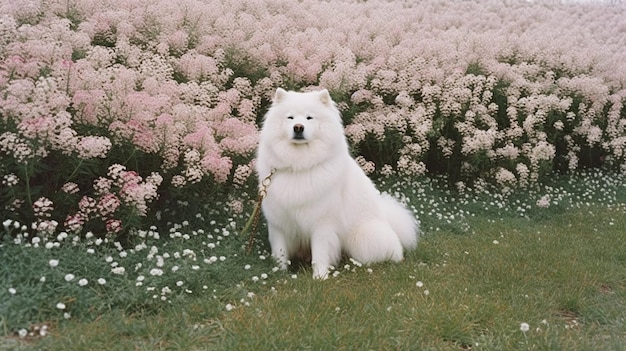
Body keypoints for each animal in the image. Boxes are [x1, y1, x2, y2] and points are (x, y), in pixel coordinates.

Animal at [256, 88, 416, 280]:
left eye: (309, 118)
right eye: (290, 117)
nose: (298, 127)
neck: (298, 165)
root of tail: (385, 217)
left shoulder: (322, 222)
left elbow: (320, 253)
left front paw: (320, 277)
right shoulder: (279, 222)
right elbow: (280, 251)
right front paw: (280, 273)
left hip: (361, 239)